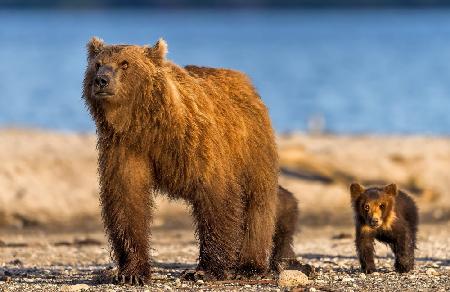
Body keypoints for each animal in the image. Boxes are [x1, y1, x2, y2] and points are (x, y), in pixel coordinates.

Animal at [82, 37, 300, 286]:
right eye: (98, 64)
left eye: (125, 63)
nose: (101, 80)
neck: (147, 125)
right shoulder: (125, 148)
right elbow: (127, 199)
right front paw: (132, 272)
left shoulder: (197, 144)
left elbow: (216, 197)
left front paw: (204, 270)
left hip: (252, 148)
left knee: (259, 204)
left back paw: (250, 266)